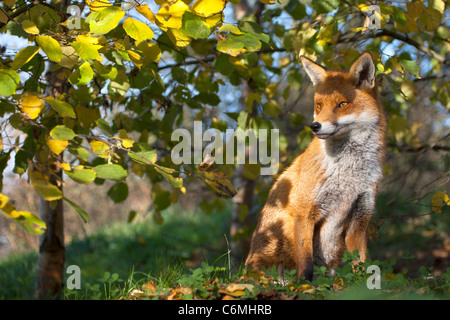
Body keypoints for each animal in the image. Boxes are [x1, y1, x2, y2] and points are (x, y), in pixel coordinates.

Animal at [246, 52, 386, 280]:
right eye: (319, 105)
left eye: (342, 104)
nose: (314, 126)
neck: (348, 173)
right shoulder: (305, 213)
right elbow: (306, 264)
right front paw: (305, 285)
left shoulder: (359, 220)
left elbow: (361, 265)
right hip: (283, 227)